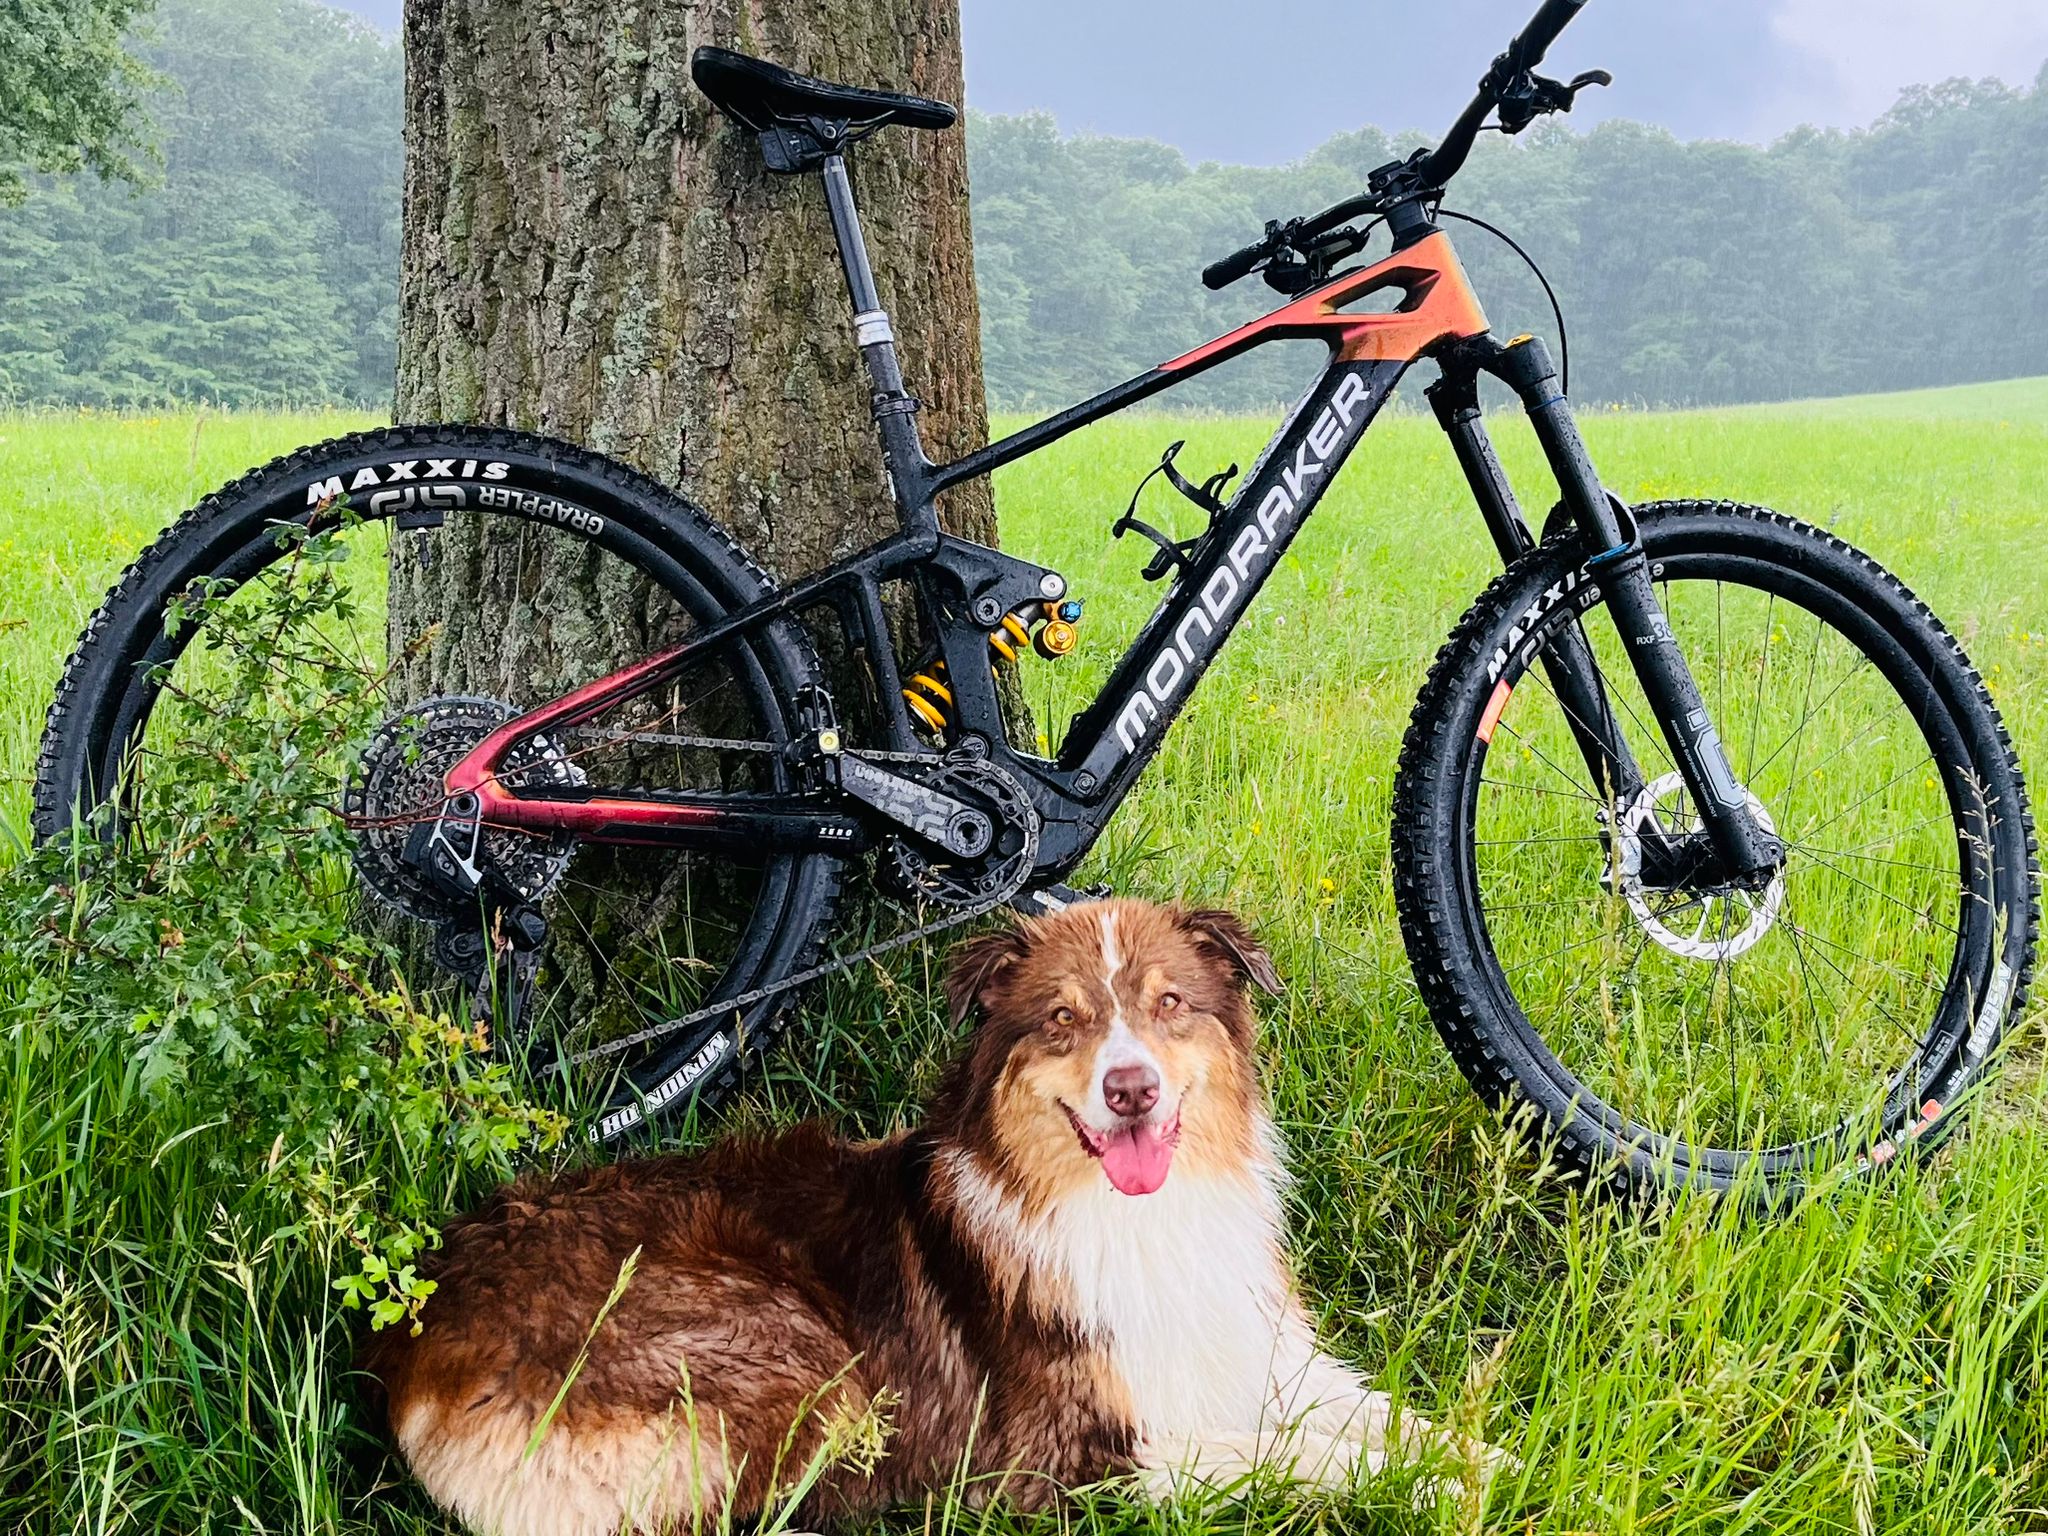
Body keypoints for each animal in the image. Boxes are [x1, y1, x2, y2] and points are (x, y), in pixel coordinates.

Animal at [360, 901, 1466, 1536]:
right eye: (1061, 1019)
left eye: (1169, 1004)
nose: (1131, 1091)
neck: (1132, 1217)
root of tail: (414, 1337)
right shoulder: (1056, 1459)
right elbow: (1293, 1461)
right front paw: (1424, 1491)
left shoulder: (1263, 1355)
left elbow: (1398, 1420)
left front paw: (1479, 1459)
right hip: (791, 1357)